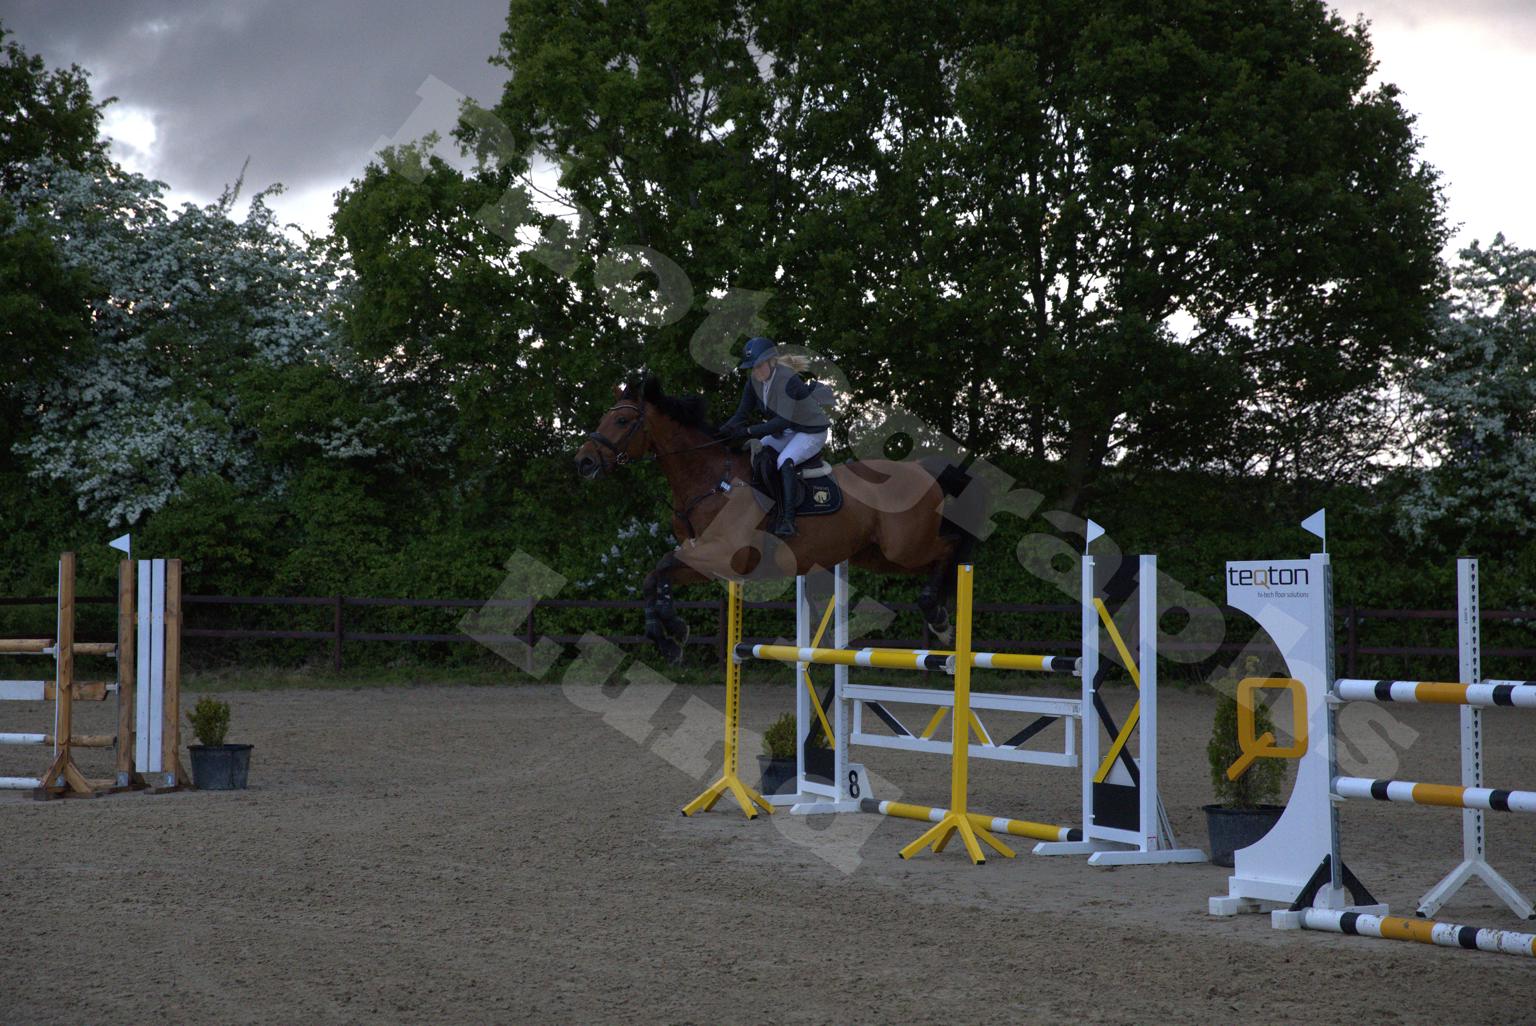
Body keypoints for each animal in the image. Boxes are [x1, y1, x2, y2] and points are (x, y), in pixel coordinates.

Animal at [574, 375, 983, 663]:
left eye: (622, 420)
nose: (584, 462)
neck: (710, 481)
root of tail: (922, 469)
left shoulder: (725, 555)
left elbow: (660, 566)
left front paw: (671, 629)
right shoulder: (704, 558)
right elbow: (655, 575)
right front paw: (668, 637)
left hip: (905, 546)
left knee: (949, 547)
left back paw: (938, 617)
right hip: (879, 555)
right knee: (939, 555)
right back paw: (939, 613)